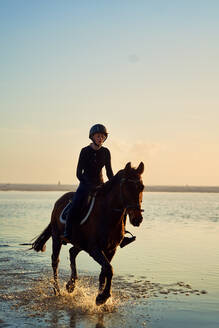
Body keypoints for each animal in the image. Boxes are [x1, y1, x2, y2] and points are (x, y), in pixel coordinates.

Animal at [30, 161, 144, 304]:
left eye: (141, 187)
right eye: (127, 187)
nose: (137, 219)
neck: (108, 215)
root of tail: (59, 200)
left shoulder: (111, 249)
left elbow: (104, 272)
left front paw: (100, 296)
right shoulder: (94, 249)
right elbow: (109, 269)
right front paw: (102, 297)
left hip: (80, 243)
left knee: (72, 252)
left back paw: (71, 285)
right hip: (57, 238)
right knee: (55, 261)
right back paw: (57, 290)